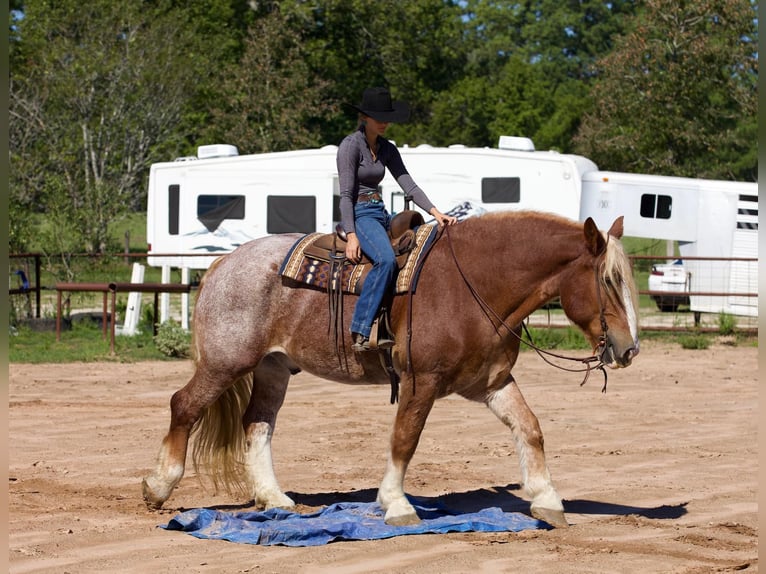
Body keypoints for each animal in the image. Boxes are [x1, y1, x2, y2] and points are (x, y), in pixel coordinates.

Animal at [141, 212, 640, 532]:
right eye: (607, 281)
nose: (629, 348)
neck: (473, 283)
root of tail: (224, 263)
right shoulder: (421, 382)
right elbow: (405, 439)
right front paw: (396, 504)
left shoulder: (490, 383)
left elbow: (530, 429)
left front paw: (547, 499)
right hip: (226, 363)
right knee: (183, 406)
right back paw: (159, 487)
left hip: (273, 368)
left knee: (257, 424)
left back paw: (275, 498)